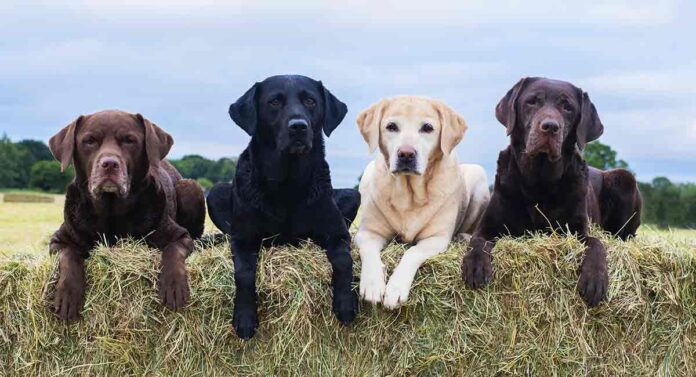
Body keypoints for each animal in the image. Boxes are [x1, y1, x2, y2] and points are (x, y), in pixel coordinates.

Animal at [47, 109, 205, 320]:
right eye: (89, 141)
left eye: (129, 140)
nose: (109, 164)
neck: (111, 211)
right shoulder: (59, 240)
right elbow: (69, 255)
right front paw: (68, 293)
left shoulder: (180, 235)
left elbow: (172, 251)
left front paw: (173, 285)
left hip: (191, 186)